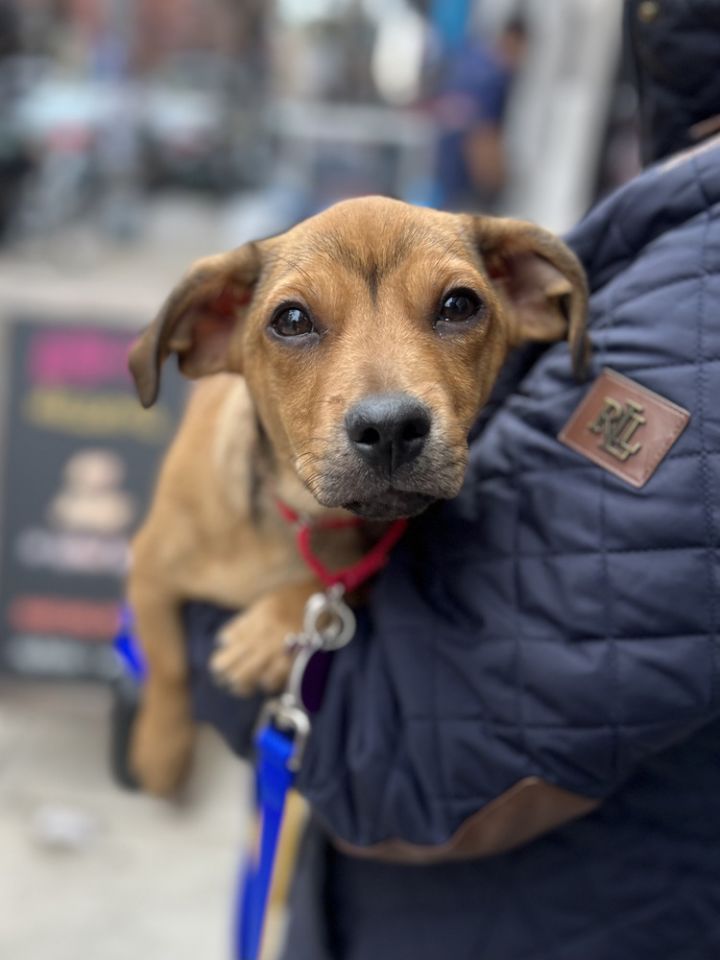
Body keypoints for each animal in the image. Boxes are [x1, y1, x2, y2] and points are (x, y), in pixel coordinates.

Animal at [126, 193, 588, 796]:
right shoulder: (147, 568)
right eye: (292, 320)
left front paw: (269, 631)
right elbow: (167, 661)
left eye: (459, 305)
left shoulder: (367, 567)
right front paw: (159, 748)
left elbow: (333, 589)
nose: (390, 429)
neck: (298, 519)